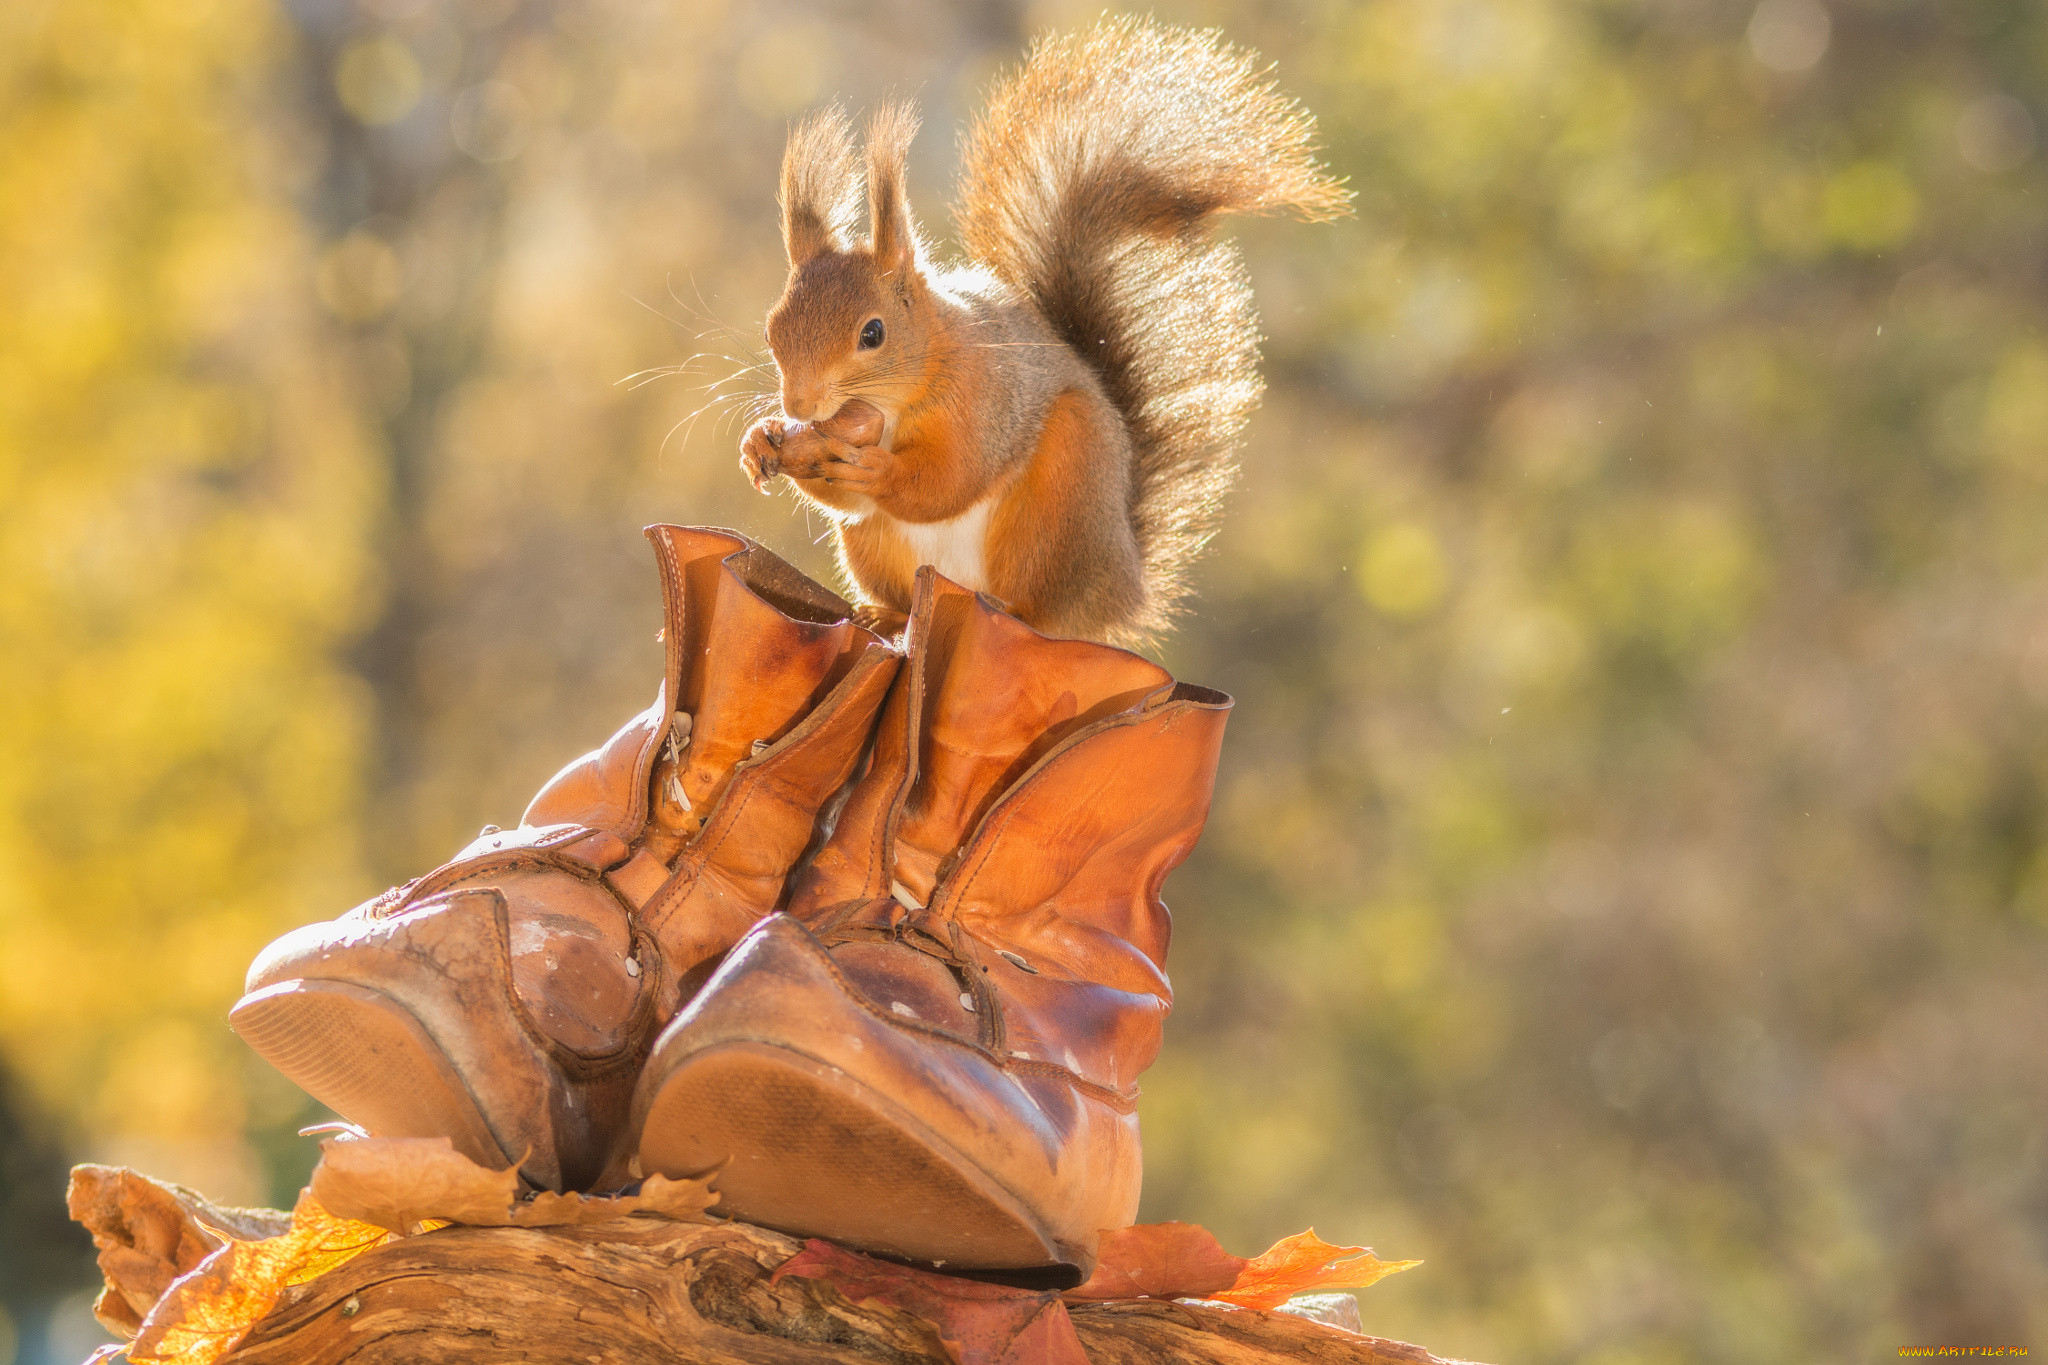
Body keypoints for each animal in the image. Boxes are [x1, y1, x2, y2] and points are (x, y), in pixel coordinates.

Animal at [737, 18, 1343, 642]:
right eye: (771, 332)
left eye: (873, 334)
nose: (799, 405)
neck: (894, 400)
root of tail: (1120, 590)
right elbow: (847, 501)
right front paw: (761, 441)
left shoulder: (985, 397)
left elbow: (950, 480)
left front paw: (878, 469)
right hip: (879, 549)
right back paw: (884, 612)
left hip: (1058, 507)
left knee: (1039, 608)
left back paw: (1011, 610)